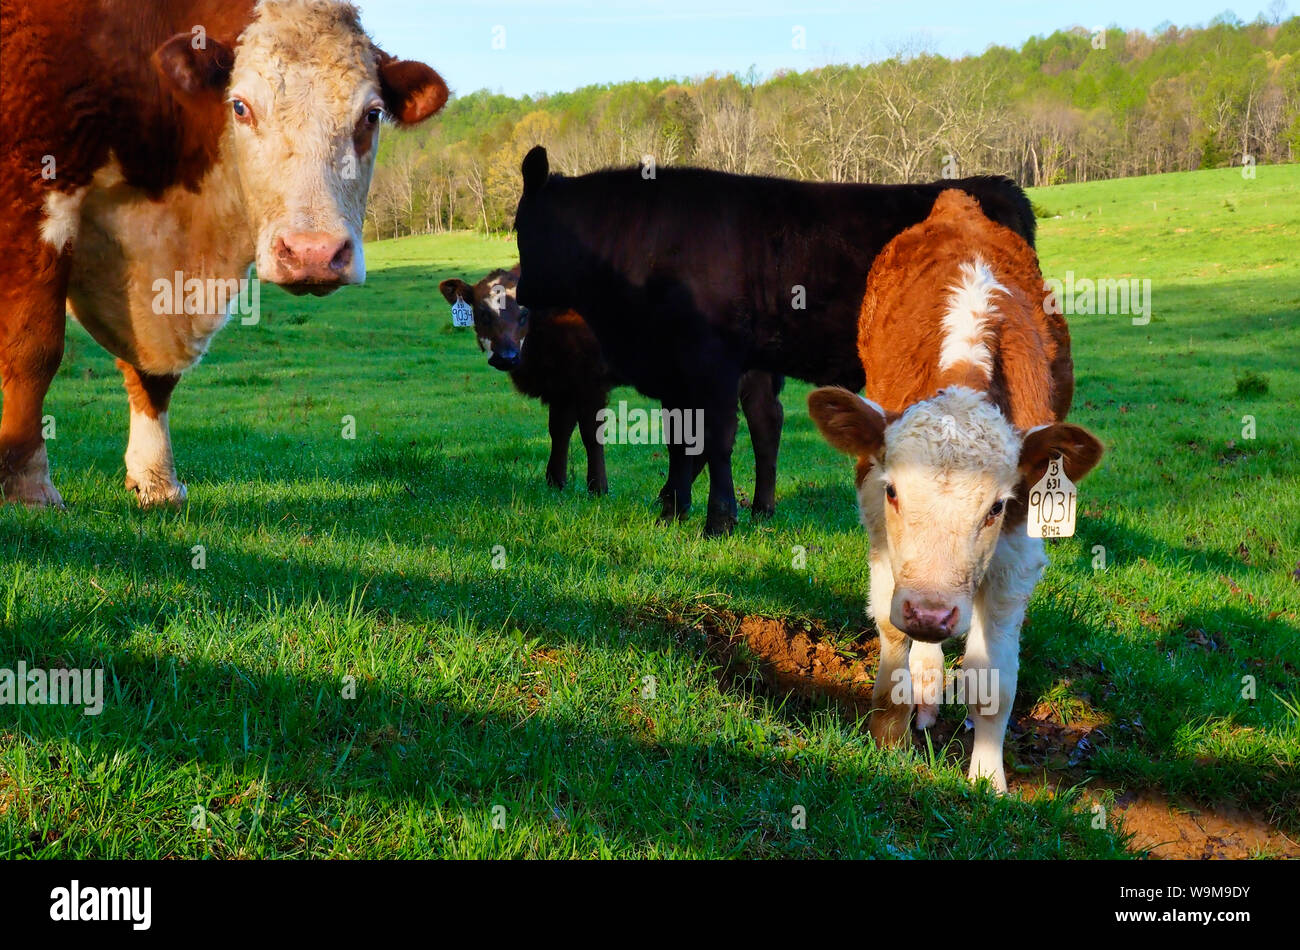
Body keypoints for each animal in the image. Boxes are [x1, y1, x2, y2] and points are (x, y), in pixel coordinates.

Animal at [0, 0, 447, 509]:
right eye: (240, 106)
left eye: (371, 115)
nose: (313, 253)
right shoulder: (31, 191)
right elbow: (34, 347)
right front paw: (28, 484)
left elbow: (155, 376)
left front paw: (158, 478)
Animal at [512, 148, 1029, 535]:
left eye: (518, 227)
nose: (521, 294)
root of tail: (998, 186)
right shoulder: (677, 373)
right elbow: (682, 441)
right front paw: (672, 512)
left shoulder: (713, 363)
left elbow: (716, 439)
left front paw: (718, 521)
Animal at [806, 189, 1102, 790]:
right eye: (894, 492)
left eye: (995, 507)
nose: (930, 613)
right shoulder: (879, 524)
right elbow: (891, 632)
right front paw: (889, 740)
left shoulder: (1017, 549)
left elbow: (993, 680)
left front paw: (988, 781)